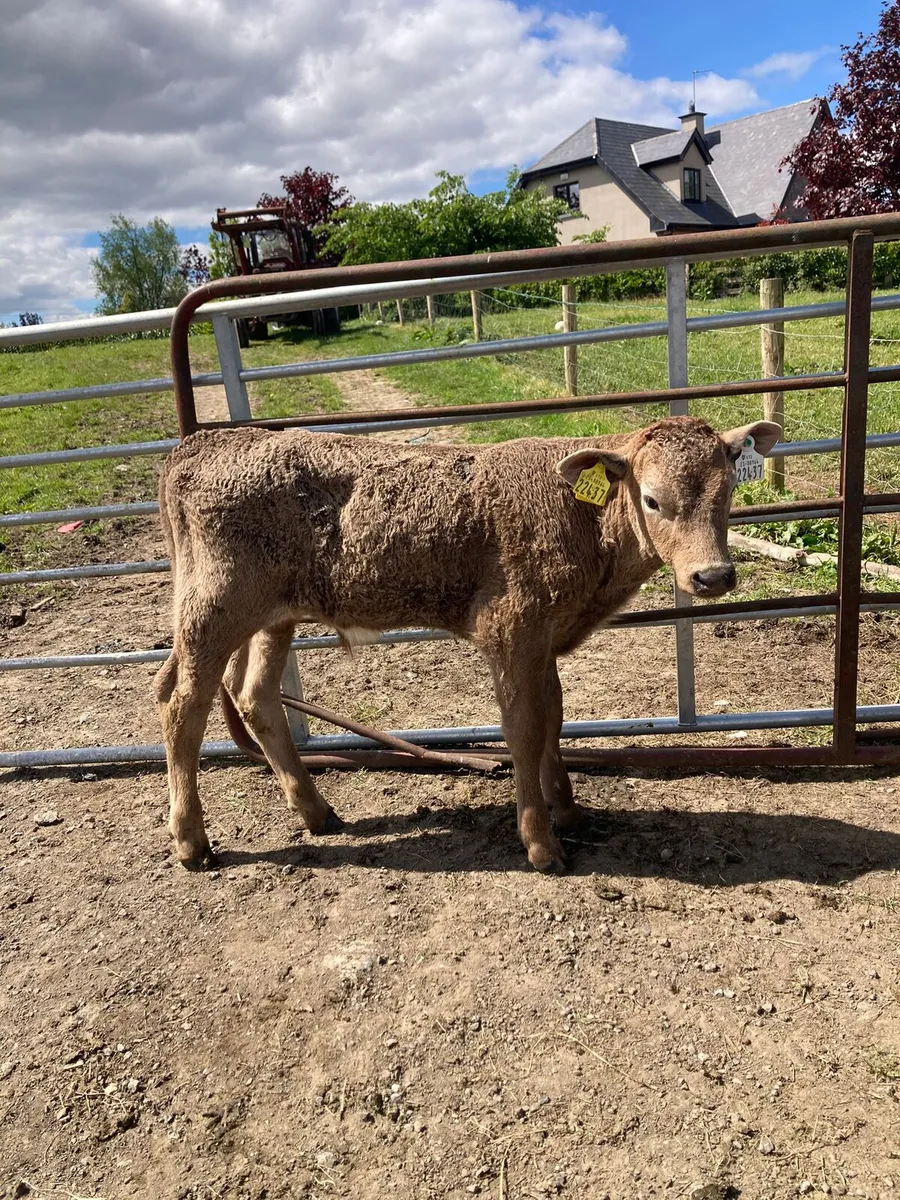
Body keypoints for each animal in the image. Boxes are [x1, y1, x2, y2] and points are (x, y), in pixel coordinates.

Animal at [154, 415, 780, 874]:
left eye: (728, 490)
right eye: (652, 500)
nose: (713, 576)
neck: (578, 516)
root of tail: (207, 441)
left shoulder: (542, 640)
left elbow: (553, 718)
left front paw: (567, 808)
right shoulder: (511, 631)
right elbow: (524, 729)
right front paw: (541, 843)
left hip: (272, 616)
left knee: (255, 696)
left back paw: (315, 811)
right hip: (215, 610)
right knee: (182, 705)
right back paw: (191, 842)